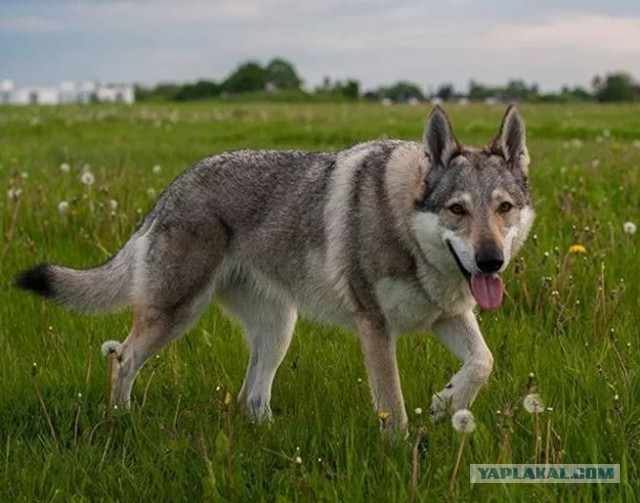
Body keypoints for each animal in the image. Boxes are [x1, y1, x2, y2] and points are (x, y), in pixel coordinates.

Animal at [16, 105, 534, 432]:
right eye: (457, 210)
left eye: (504, 208)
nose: (491, 260)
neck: (406, 229)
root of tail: (174, 187)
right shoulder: (376, 327)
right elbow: (394, 408)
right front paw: (402, 451)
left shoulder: (447, 315)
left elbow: (482, 363)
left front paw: (447, 403)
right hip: (177, 316)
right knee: (122, 360)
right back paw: (122, 420)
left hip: (278, 330)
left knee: (251, 397)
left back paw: (273, 437)